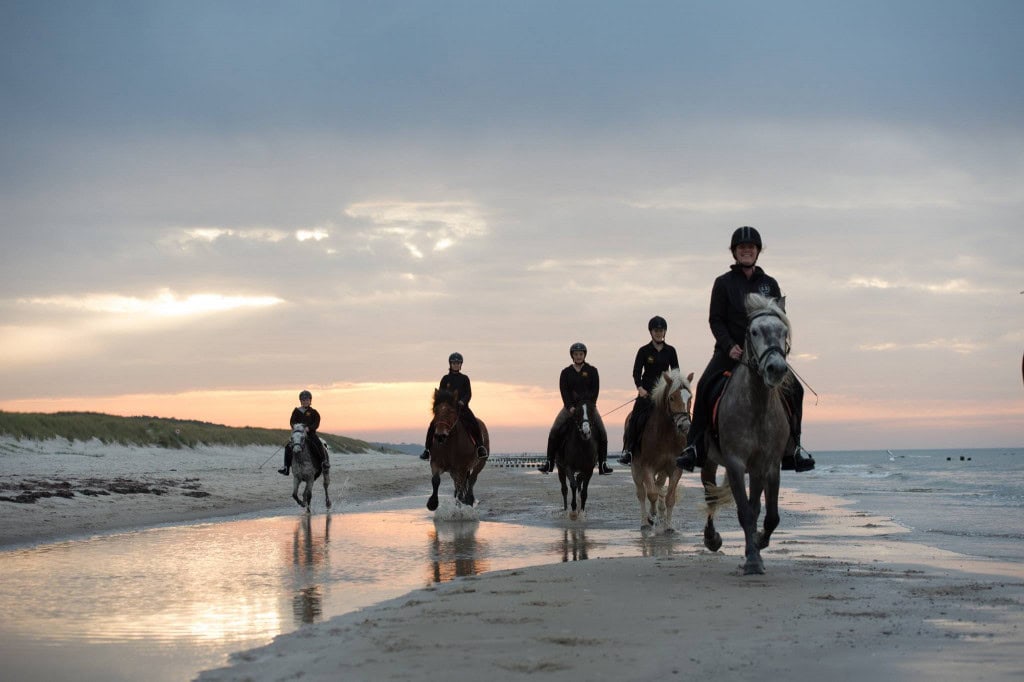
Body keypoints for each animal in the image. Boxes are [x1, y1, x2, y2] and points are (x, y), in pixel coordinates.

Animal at [704, 292, 790, 573]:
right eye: (754, 331)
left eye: (784, 331)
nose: (776, 368)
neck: (757, 405)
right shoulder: (735, 463)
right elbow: (745, 511)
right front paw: (752, 559)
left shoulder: (767, 465)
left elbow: (768, 514)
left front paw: (759, 544)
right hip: (708, 460)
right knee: (710, 495)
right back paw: (712, 538)